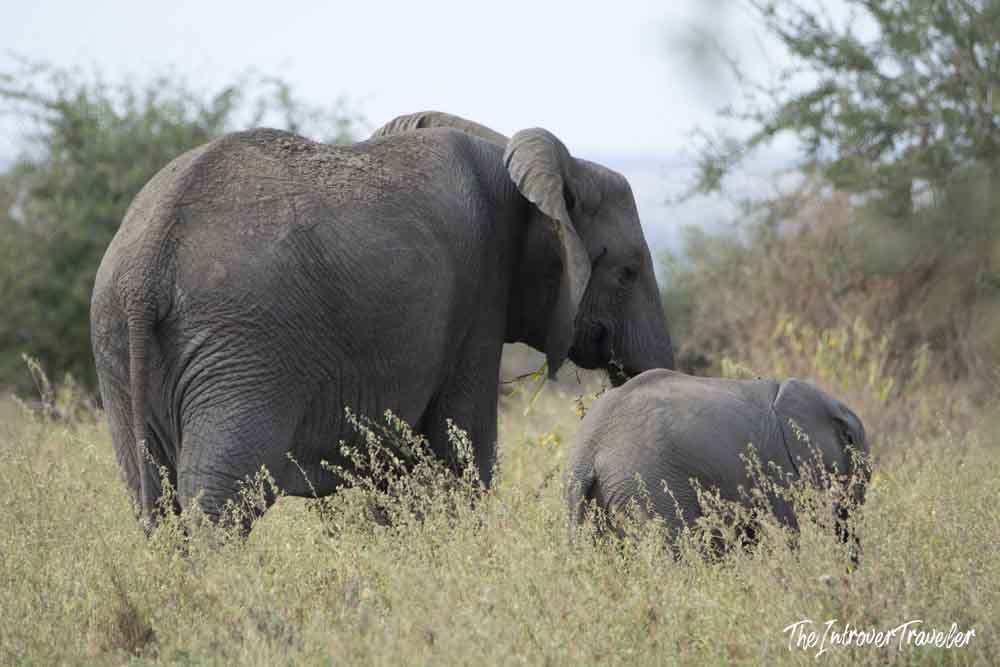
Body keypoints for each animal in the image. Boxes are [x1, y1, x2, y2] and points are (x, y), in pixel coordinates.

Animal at [90, 110, 675, 531]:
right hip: (243, 346)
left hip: (117, 343)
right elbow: (461, 449)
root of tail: (147, 266)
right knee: (218, 493)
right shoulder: (478, 297)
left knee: (150, 492)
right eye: (627, 271)